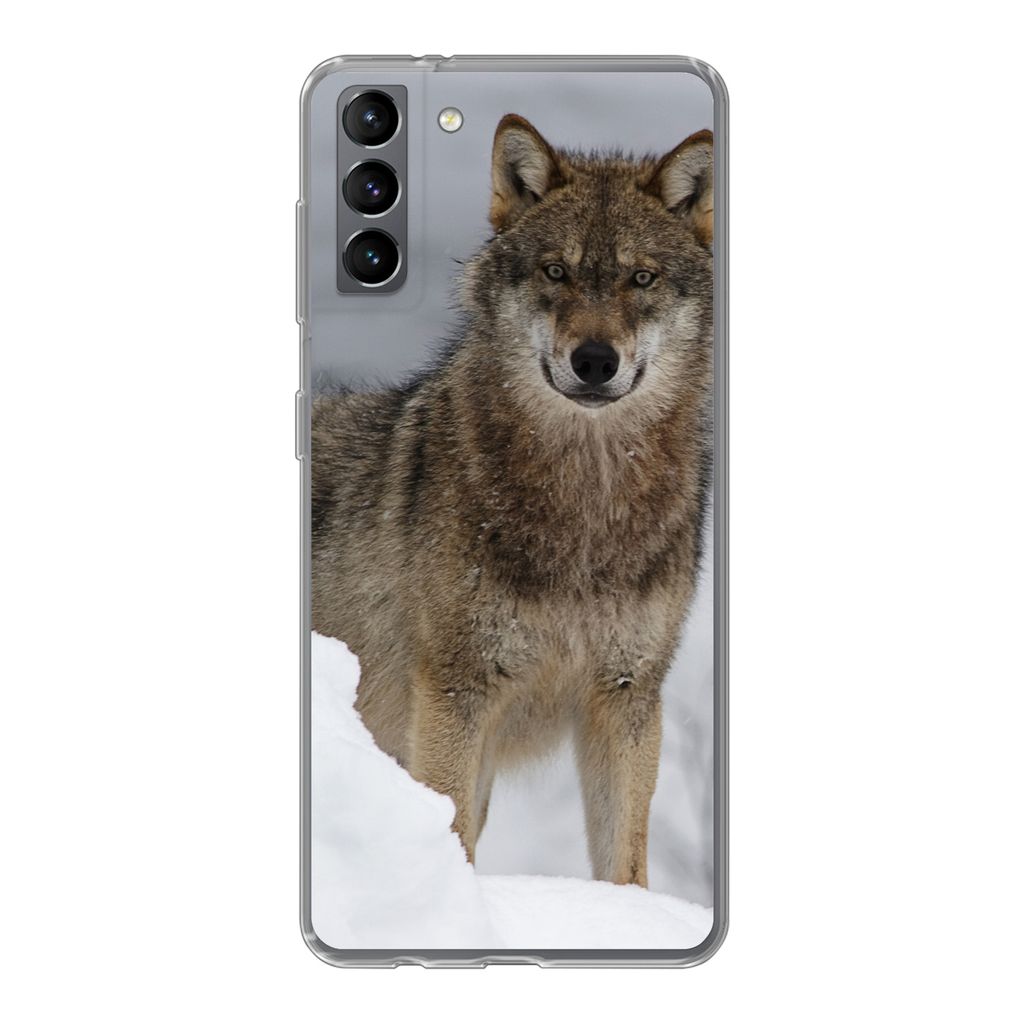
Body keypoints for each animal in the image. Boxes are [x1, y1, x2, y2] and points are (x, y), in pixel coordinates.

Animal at [312, 114, 714, 887]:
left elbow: (625, 865)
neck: (586, 504)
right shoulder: (456, 693)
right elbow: (454, 835)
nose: (595, 361)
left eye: (640, 277)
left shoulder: (627, 696)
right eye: (556, 272)